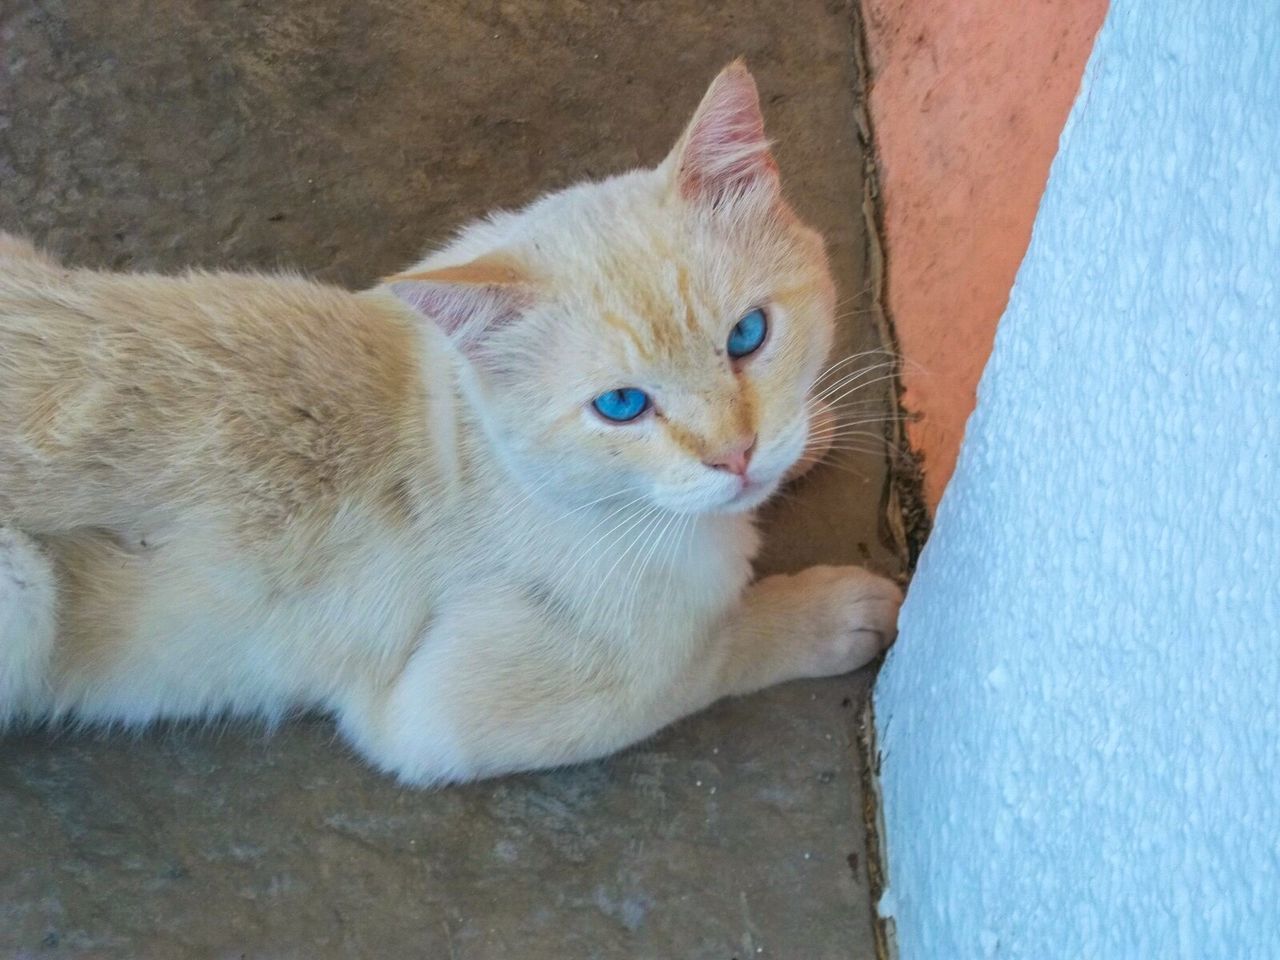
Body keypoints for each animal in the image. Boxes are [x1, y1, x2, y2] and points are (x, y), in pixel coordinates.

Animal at [0, 60, 901, 783]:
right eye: (620, 406)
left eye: (748, 336)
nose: (737, 454)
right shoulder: (440, 716)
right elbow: (708, 653)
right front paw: (838, 613)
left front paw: (806, 434)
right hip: (23, 586)